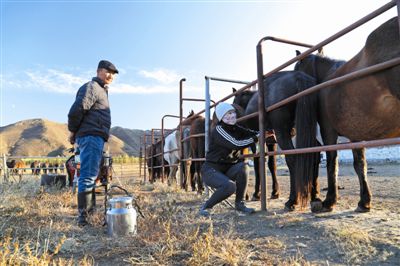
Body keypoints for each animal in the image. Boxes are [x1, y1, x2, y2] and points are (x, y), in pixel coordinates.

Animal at [233, 70, 318, 210]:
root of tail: (299, 76)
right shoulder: (270, 142)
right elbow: (271, 165)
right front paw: (274, 192)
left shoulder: (256, 141)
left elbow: (257, 163)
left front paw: (256, 194)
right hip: (307, 129)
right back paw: (315, 196)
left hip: (283, 133)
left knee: (293, 159)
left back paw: (292, 200)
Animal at [294, 16, 400, 212]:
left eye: (297, 69)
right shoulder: (356, 134)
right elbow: (360, 165)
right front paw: (364, 201)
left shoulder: (328, 132)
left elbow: (331, 163)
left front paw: (329, 201)